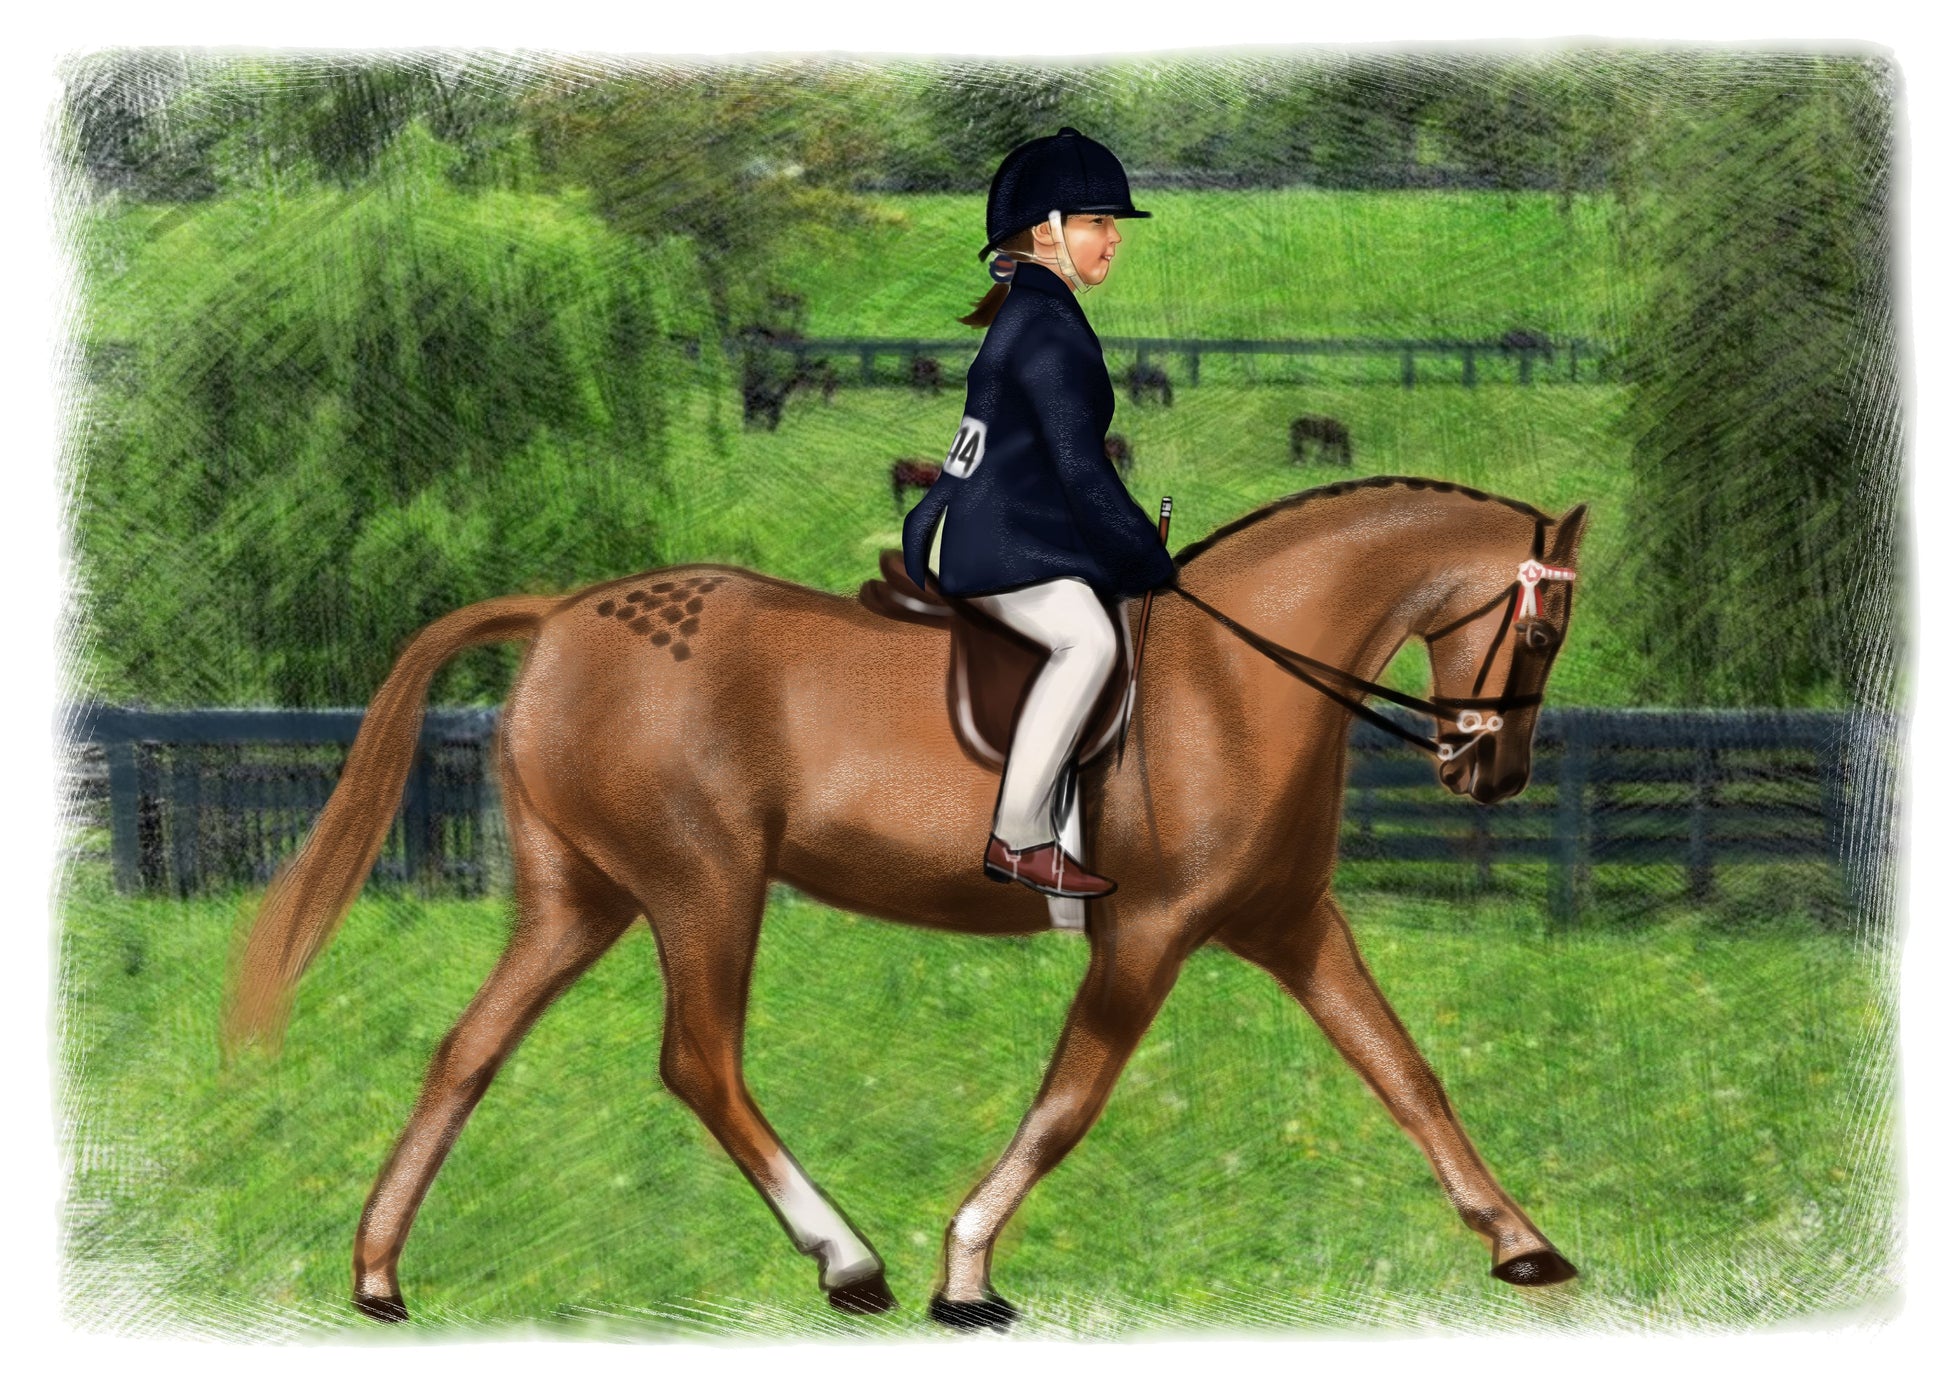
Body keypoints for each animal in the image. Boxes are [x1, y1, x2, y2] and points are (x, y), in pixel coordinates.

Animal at [225, 476, 1588, 1331]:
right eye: (1539, 628)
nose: (1493, 773)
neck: (1239, 674)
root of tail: (562, 610)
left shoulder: (1293, 926)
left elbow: (1404, 1072)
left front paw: (1519, 1240)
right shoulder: (1144, 935)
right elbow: (1069, 1100)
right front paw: (965, 1268)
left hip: (582, 897)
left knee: (468, 1048)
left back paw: (377, 1272)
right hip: (703, 882)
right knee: (698, 1058)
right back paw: (848, 1261)